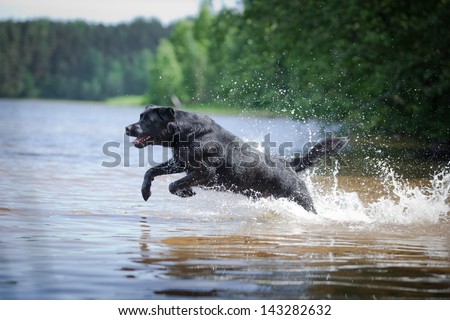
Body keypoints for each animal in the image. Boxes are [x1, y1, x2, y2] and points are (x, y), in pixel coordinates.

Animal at [125, 106, 346, 214]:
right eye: (140, 116)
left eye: (147, 120)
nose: (127, 128)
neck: (186, 133)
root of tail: (287, 164)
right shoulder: (180, 162)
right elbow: (151, 171)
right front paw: (145, 191)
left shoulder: (206, 172)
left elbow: (173, 184)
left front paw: (185, 191)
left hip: (300, 198)